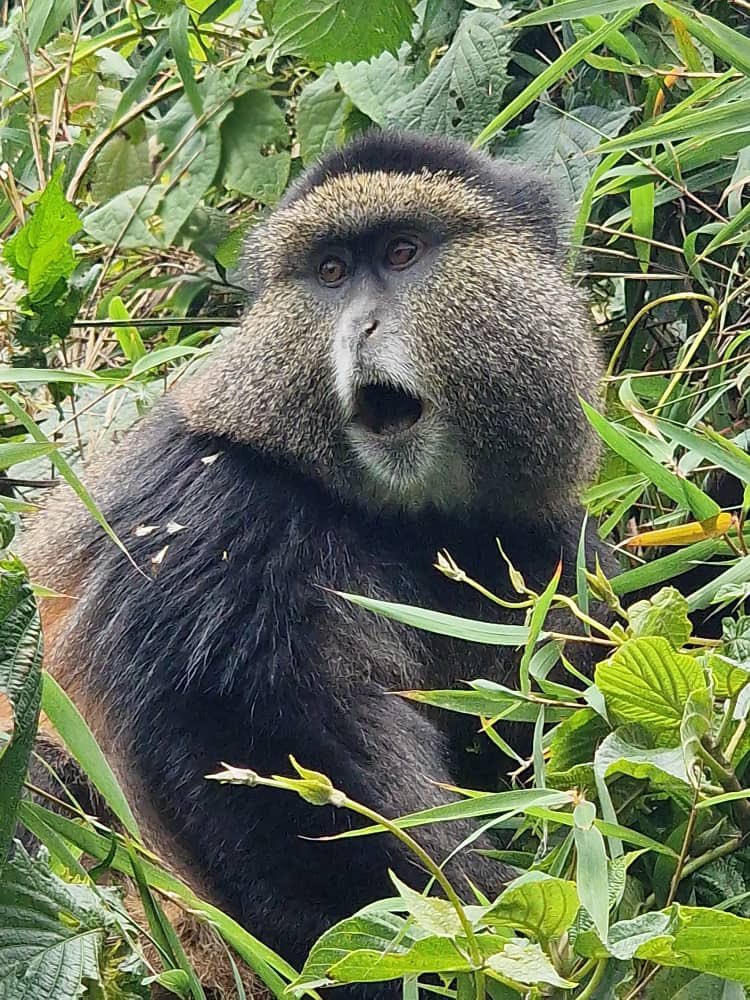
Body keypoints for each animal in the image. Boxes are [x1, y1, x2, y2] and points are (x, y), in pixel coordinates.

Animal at [20, 130, 607, 996]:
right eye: (330, 271)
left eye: (402, 252)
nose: (361, 326)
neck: (394, 517)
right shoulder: (218, 524)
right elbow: (264, 776)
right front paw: (485, 934)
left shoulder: (544, 549)